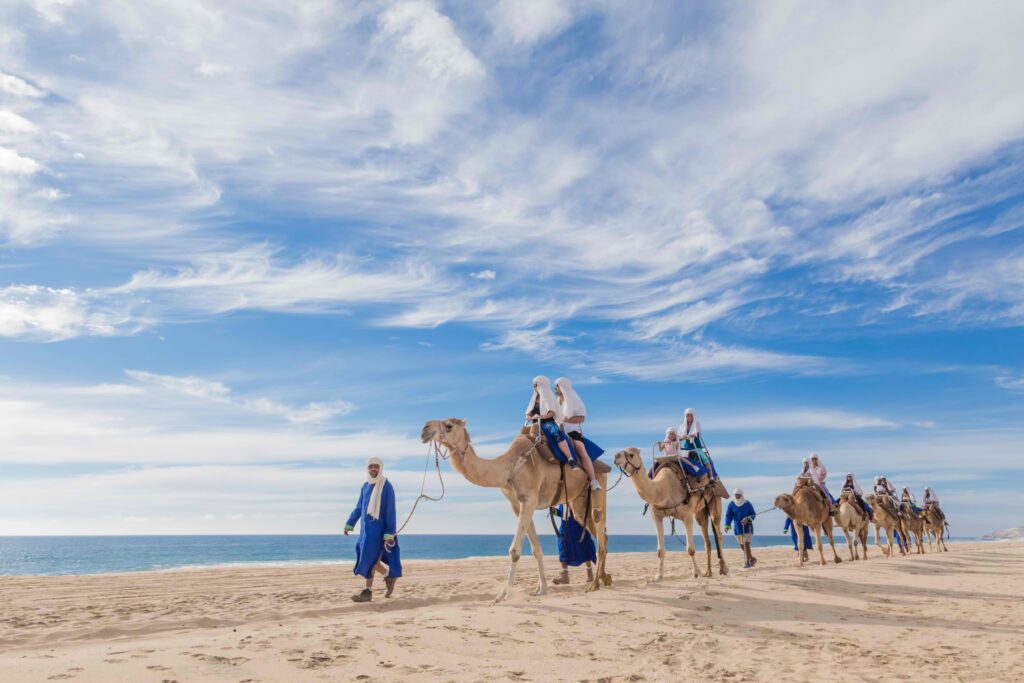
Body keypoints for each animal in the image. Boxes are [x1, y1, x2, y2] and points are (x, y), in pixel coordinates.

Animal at [421, 417, 610, 602]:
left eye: (449, 425)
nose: (424, 429)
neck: (510, 467)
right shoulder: (518, 505)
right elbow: (536, 549)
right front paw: (541, 589)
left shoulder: (529, 500)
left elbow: (514, 551)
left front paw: (503, 595)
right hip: (578, 502)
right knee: (600, 533)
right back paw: (605, 578)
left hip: (598, 485)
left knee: (599, 527)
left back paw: (594, 585)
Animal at [606, 448, 729, 581]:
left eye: (631, 454)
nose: (616, 456)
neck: (664, 489)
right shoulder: (656, 516)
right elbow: (660, 550)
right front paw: (658, 576)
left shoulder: (687, 515)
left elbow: (690, 549)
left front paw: (696, 573)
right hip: (700, 511)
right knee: (706, 536)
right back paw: (708, 572)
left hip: (715, 497)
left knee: (718, 531)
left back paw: (723, 569)